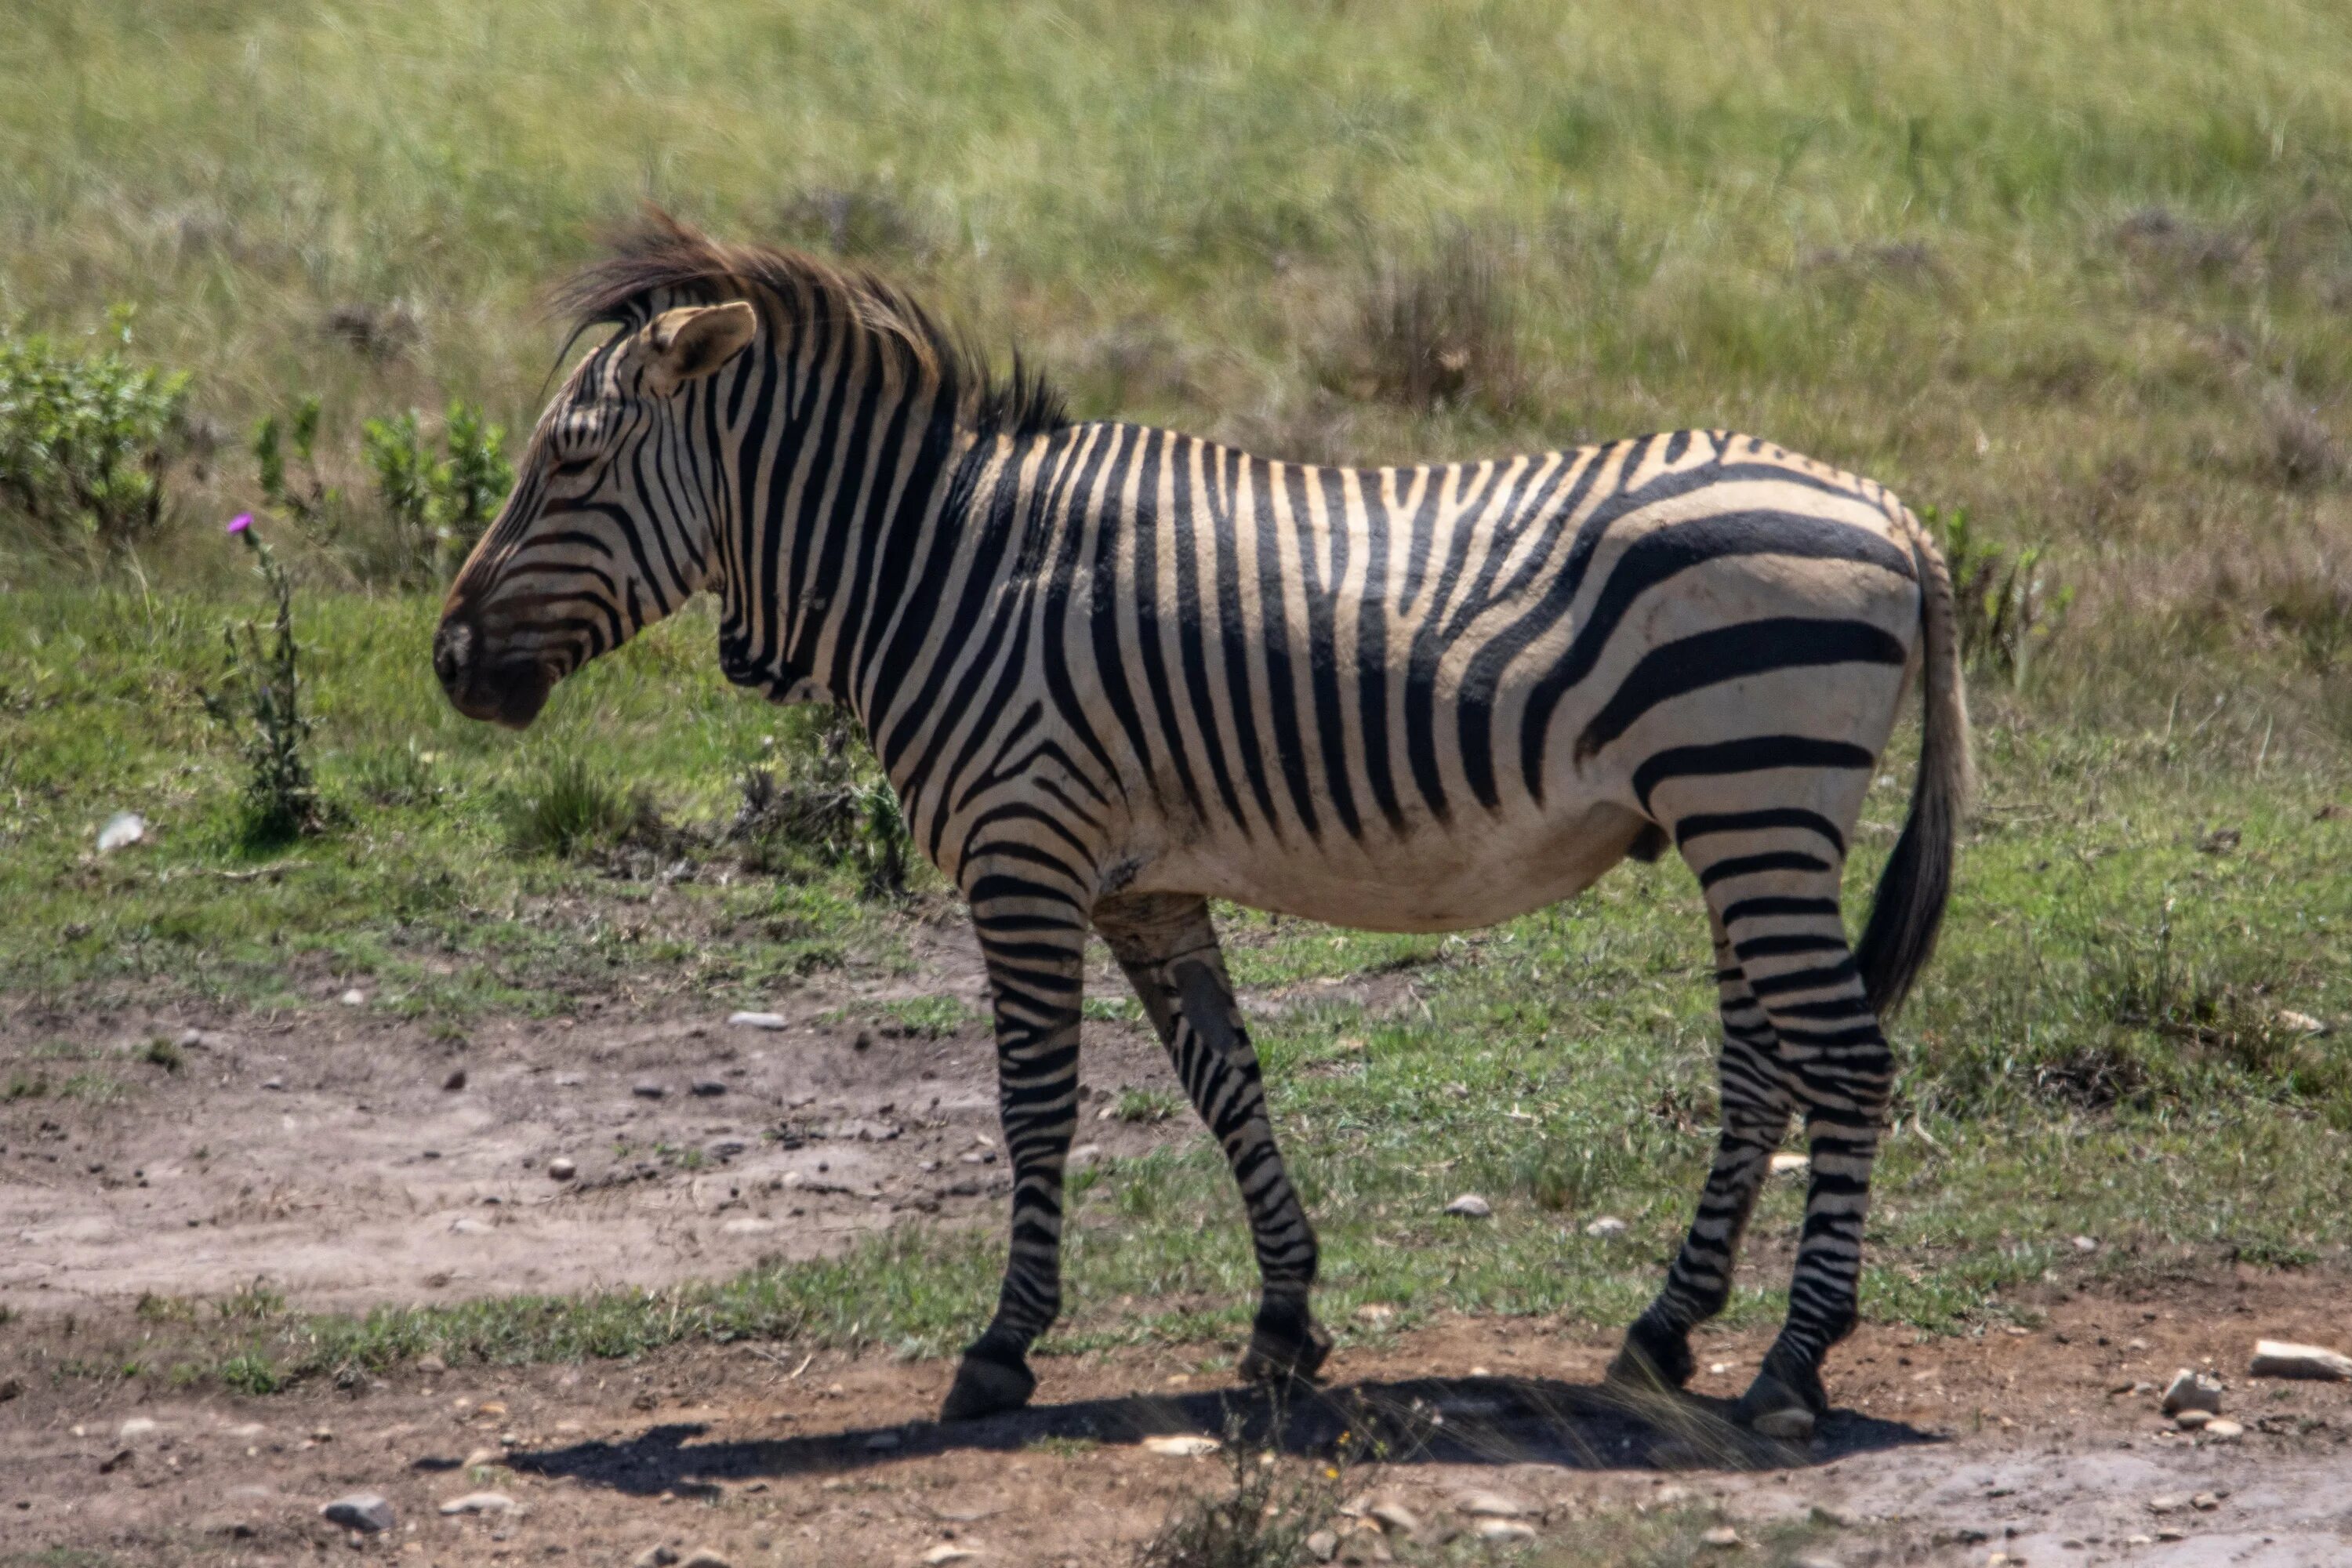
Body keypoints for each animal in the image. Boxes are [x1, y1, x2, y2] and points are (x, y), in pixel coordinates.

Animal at [437, 215, 1966, 1439]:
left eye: (569, 462)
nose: (450, 665)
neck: (940, 565)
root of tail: (1894, 510)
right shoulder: (1140, 883)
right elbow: (1227, 1085)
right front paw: (1285, 1322)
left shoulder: (1026, 858)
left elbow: (1035, 1104)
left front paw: (1004, 1347)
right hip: (1741, 820)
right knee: (1762, 1070)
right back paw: (1662, 1335)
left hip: (1756, 797)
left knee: (1845, 1065)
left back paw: (1791, 1367)